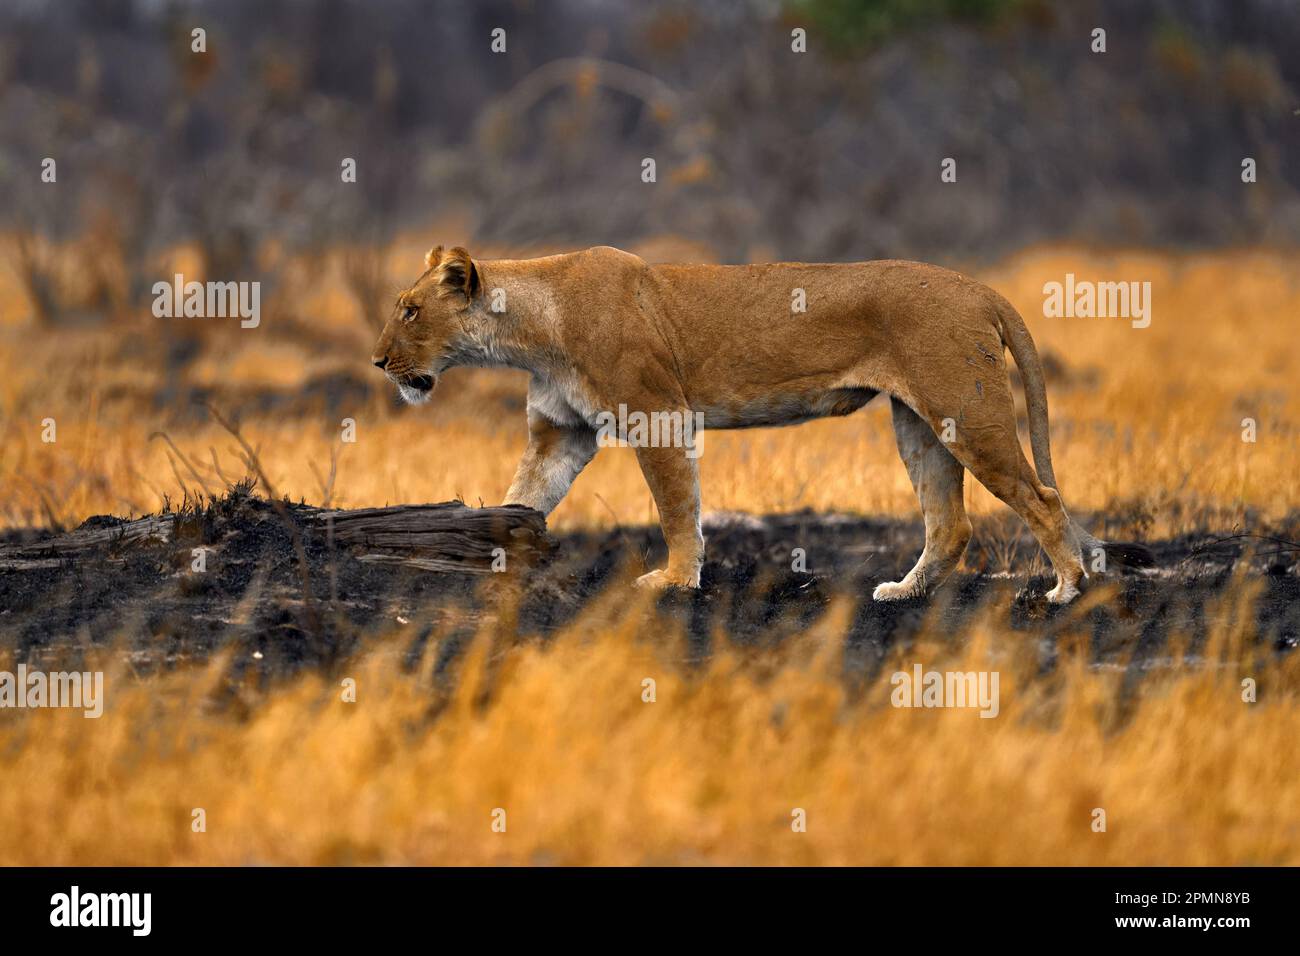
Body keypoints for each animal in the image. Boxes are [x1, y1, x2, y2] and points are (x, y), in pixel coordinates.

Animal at [371, 245, 1151, 603]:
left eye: (409, 310)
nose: (378, 361)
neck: (536, 329)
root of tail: (982, 287)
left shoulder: (658, 415)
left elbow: (676, 508)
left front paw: (675, 580)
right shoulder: (561, 433)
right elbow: (525, 496)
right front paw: (494, 559)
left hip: (966, 409)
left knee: (1042, 497)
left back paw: (1066, 589)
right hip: (918, 422)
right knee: (950, 523)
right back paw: (904, 593)